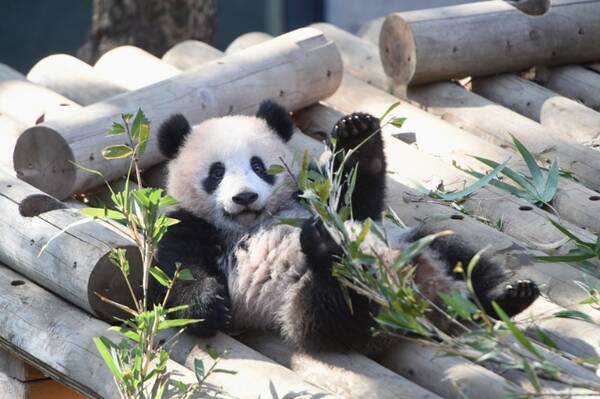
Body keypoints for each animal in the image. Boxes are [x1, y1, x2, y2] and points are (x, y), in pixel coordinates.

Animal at [154, 101, 540, 354]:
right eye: (216, 172)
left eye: (259, 165)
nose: (245, 197)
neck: (256, 221)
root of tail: (422, 302)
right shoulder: (191, 225)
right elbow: (174, 274)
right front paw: (208, 305)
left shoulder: (311, 195)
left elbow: (356, 203)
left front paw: (358, 136)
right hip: (302, 308)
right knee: (333, 309)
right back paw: (329, 251)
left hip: (410, 244)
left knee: (457, 252)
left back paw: (508, 292)